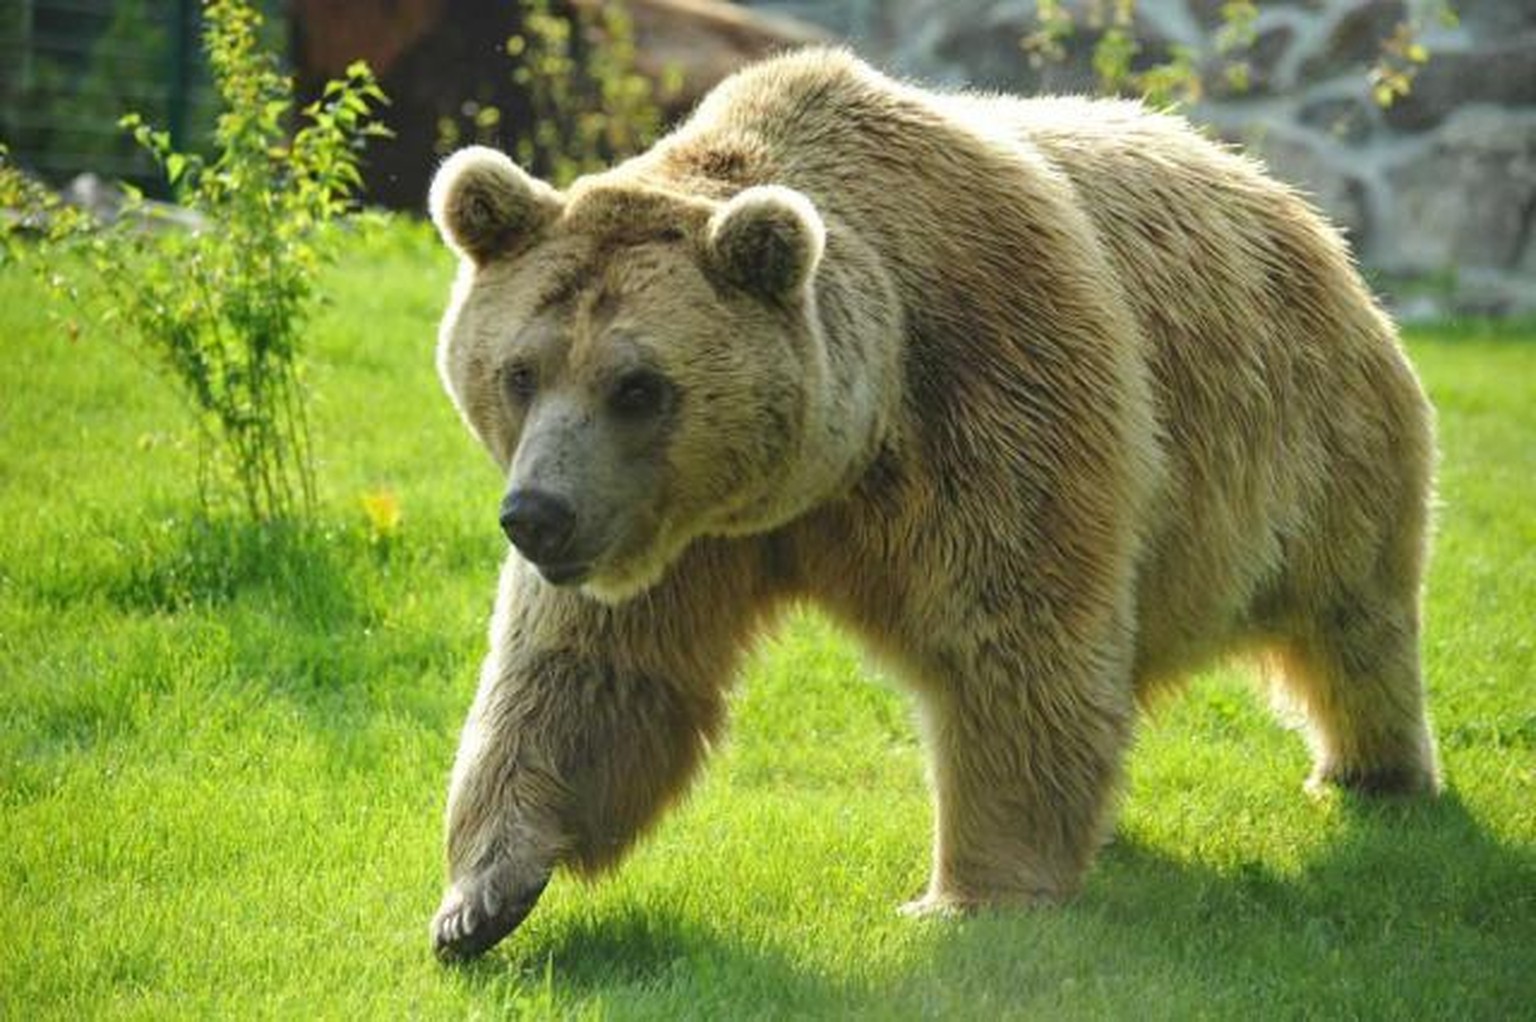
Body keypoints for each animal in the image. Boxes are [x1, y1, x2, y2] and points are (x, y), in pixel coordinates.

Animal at [423, 45, 1437, 958]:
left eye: (639, 386)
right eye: (520, 371)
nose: (536, 515)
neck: (832, 462)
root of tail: (1279, 193)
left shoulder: (997, 392)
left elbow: (1012, 641)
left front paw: (974, 894)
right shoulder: (676, 533)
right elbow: (591, 670)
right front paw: (481, 898)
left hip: (1300, 439)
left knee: (1350, 614)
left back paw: (1373, 771)